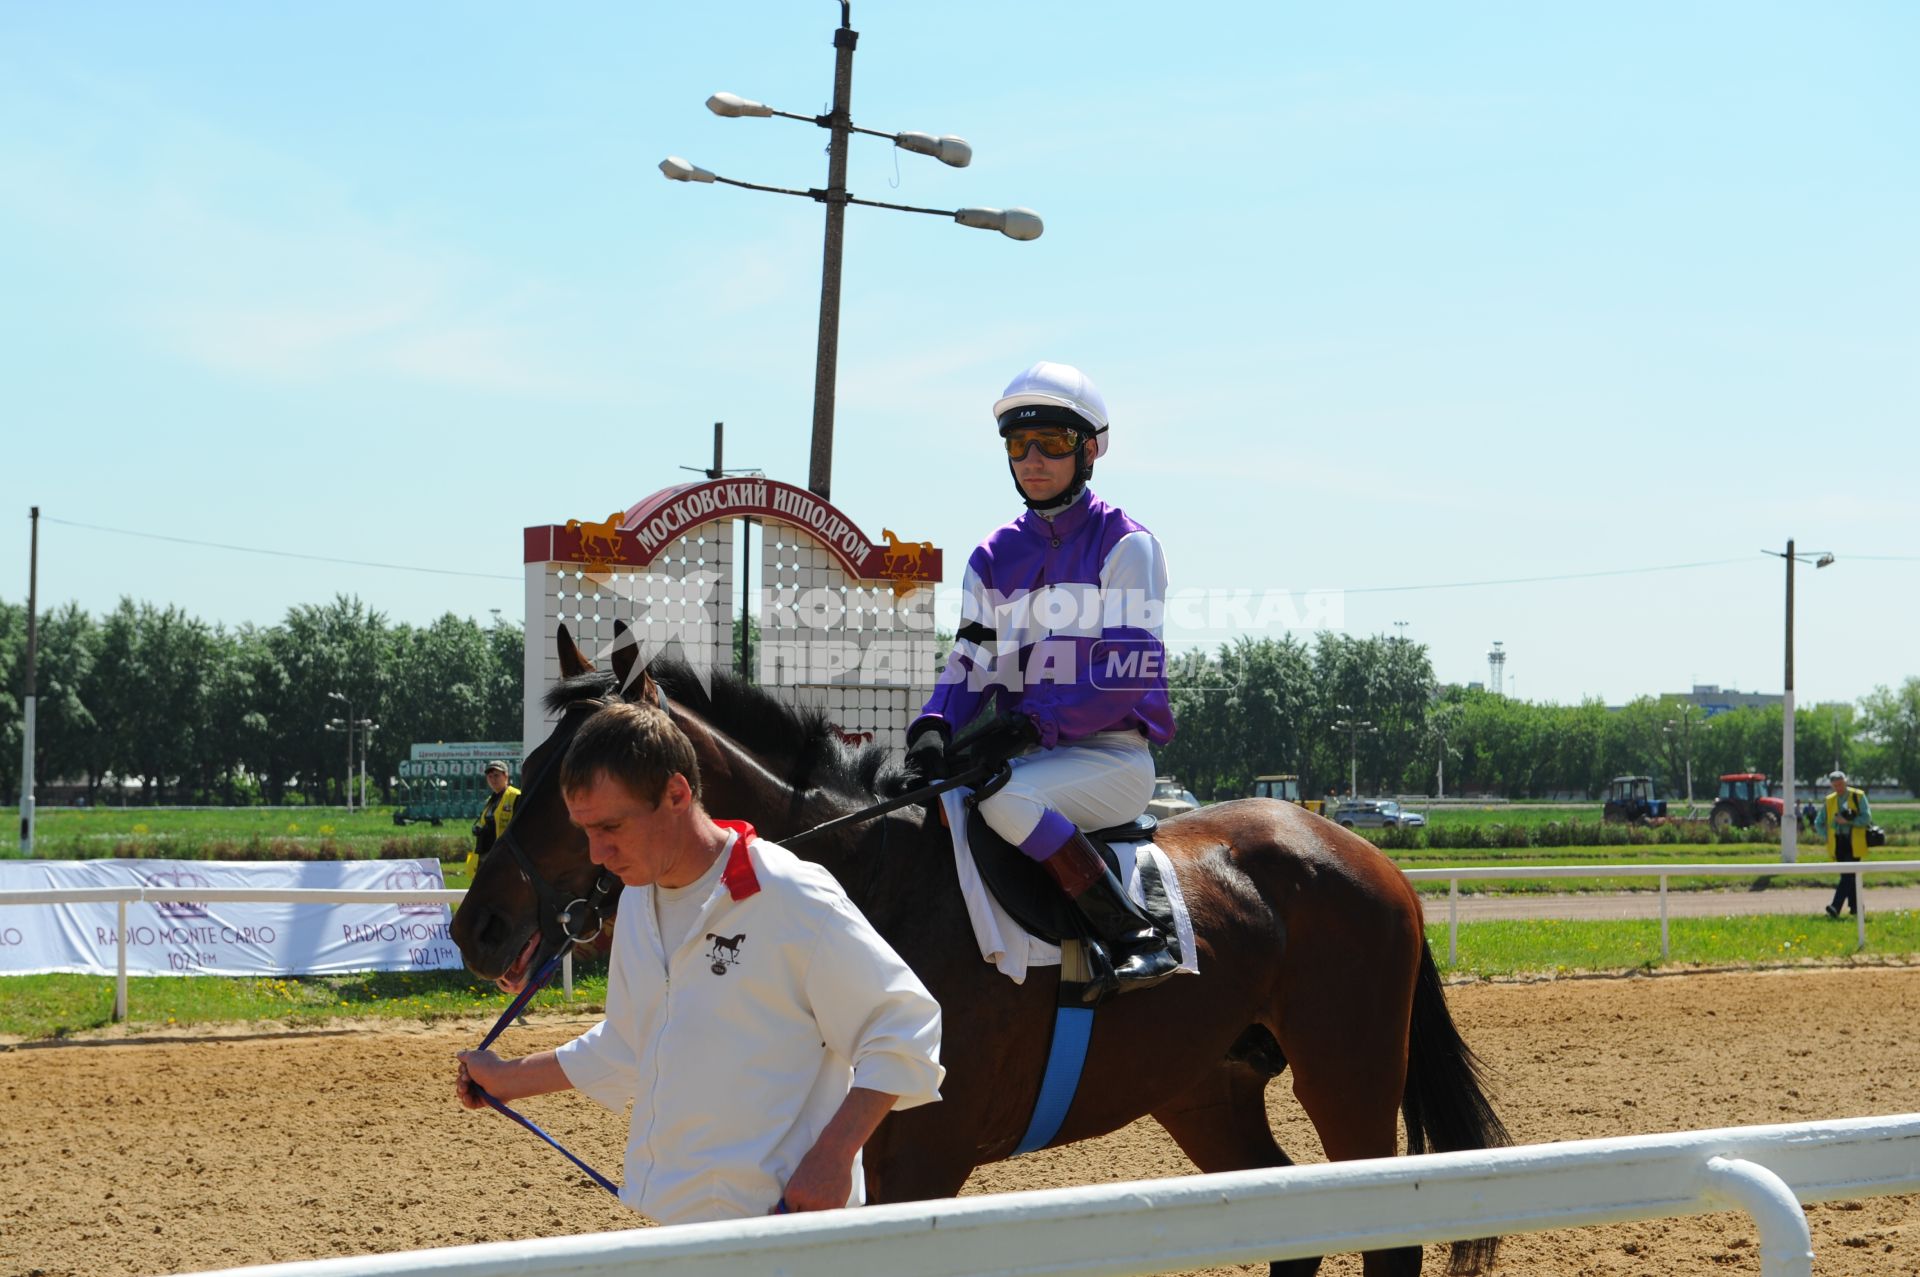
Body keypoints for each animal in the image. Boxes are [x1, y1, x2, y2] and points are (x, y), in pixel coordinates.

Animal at [456, 629, 1505, 1275]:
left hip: (1350, 1076)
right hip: (1206, 1088)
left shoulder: (921, 1158)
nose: (477, 925)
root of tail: (1367, 855)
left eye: (575, 786)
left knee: (1388, 1237)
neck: (873, 881)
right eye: (531, 769)